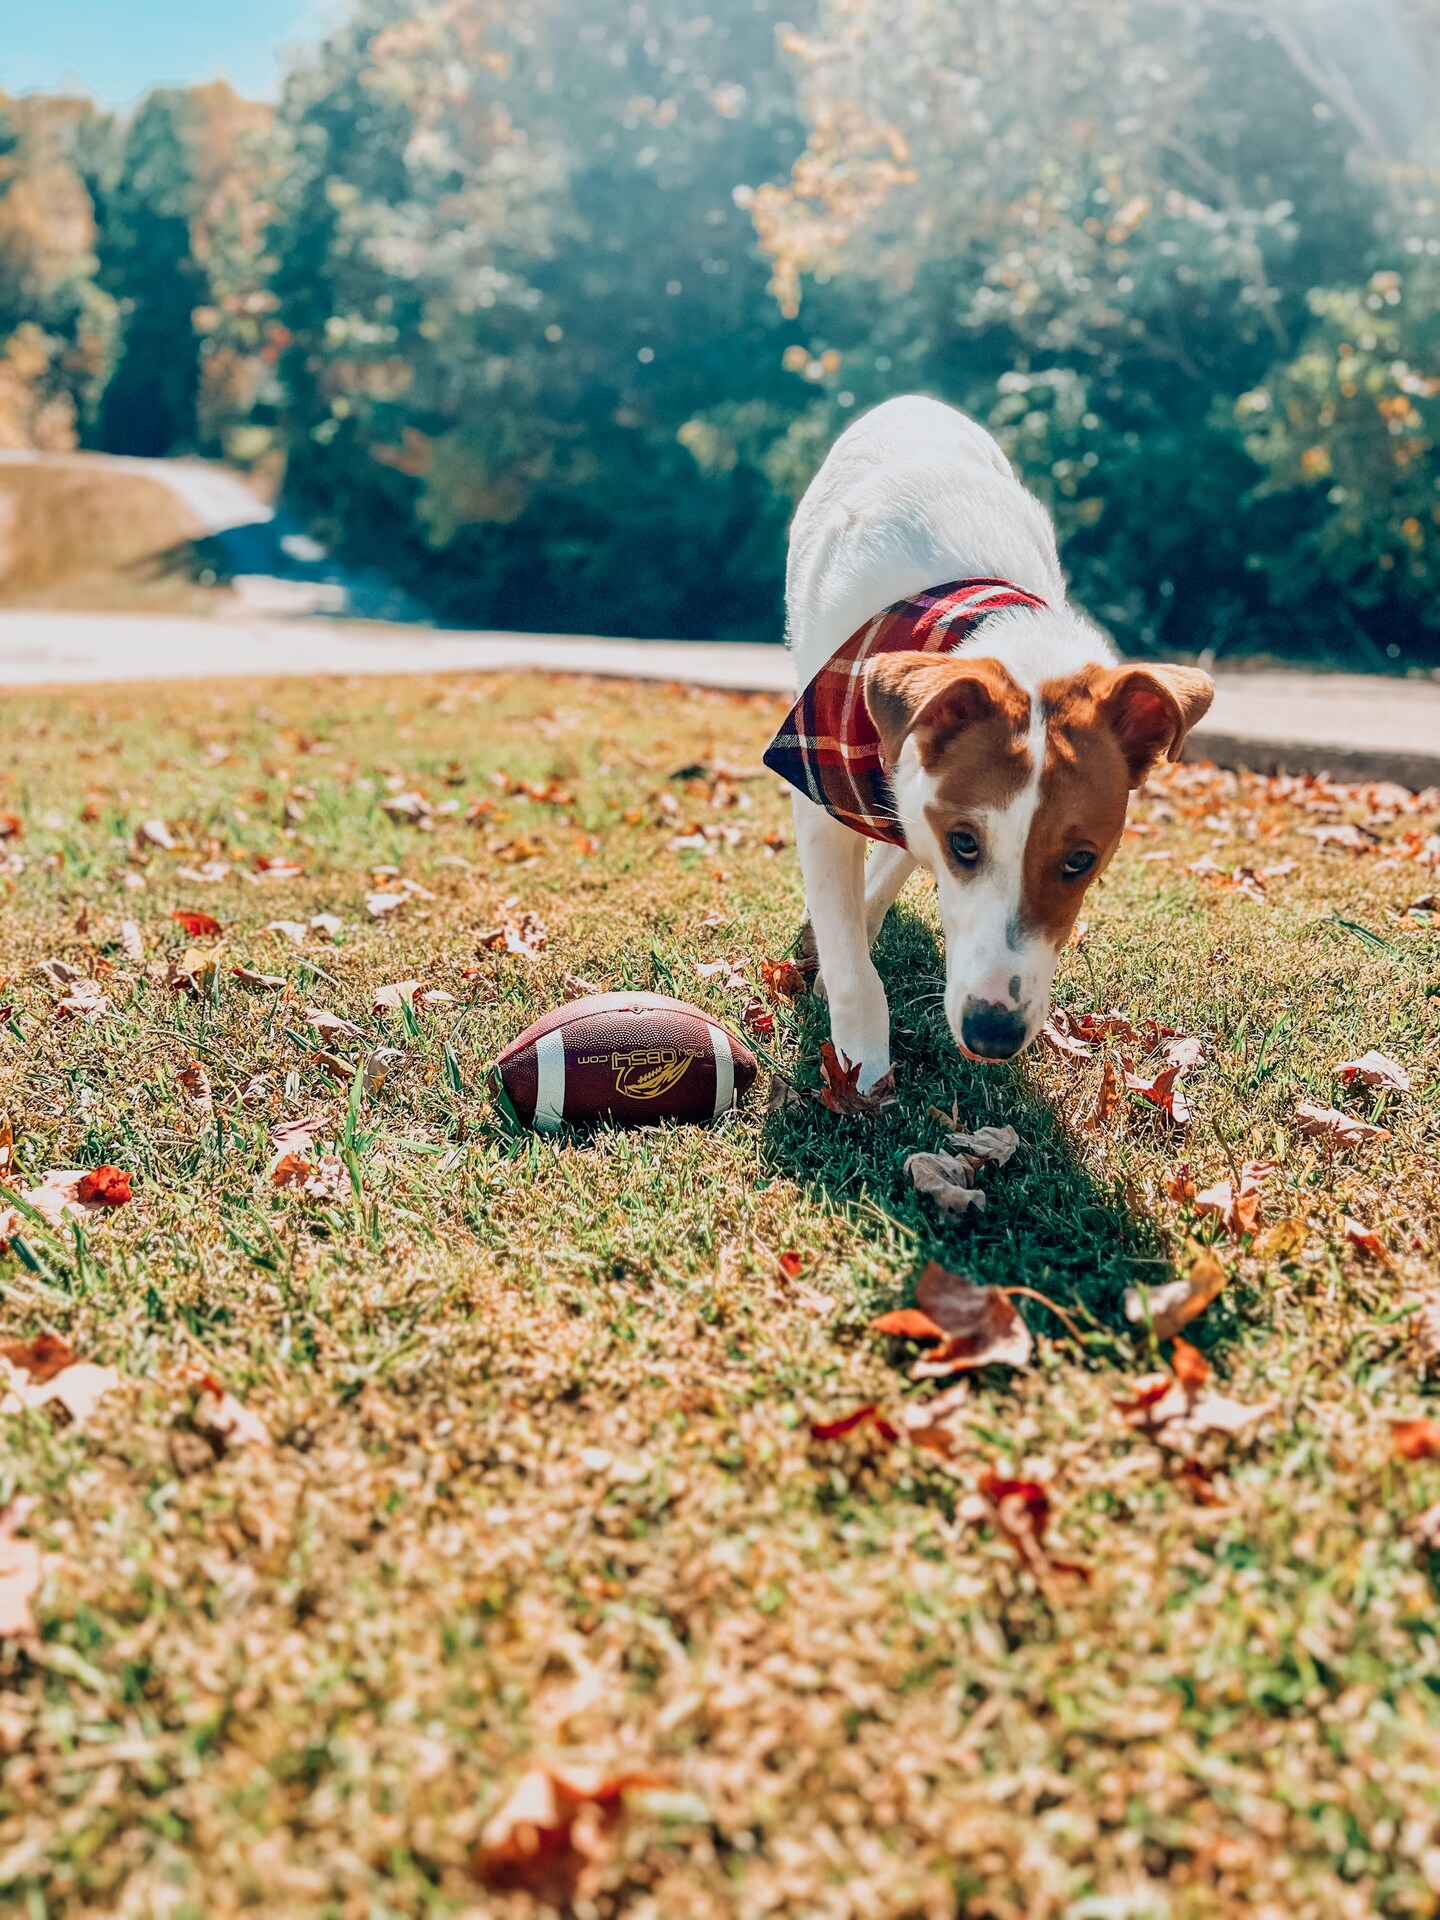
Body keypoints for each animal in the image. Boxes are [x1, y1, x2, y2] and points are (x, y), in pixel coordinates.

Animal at [768, 395, 1221, 1090]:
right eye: (964, 843)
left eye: (1081, 860)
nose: (994, 1033)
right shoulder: (821, 782)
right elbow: (849, 958)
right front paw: (863, 1065)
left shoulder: (908, 790)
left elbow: (887, 863)